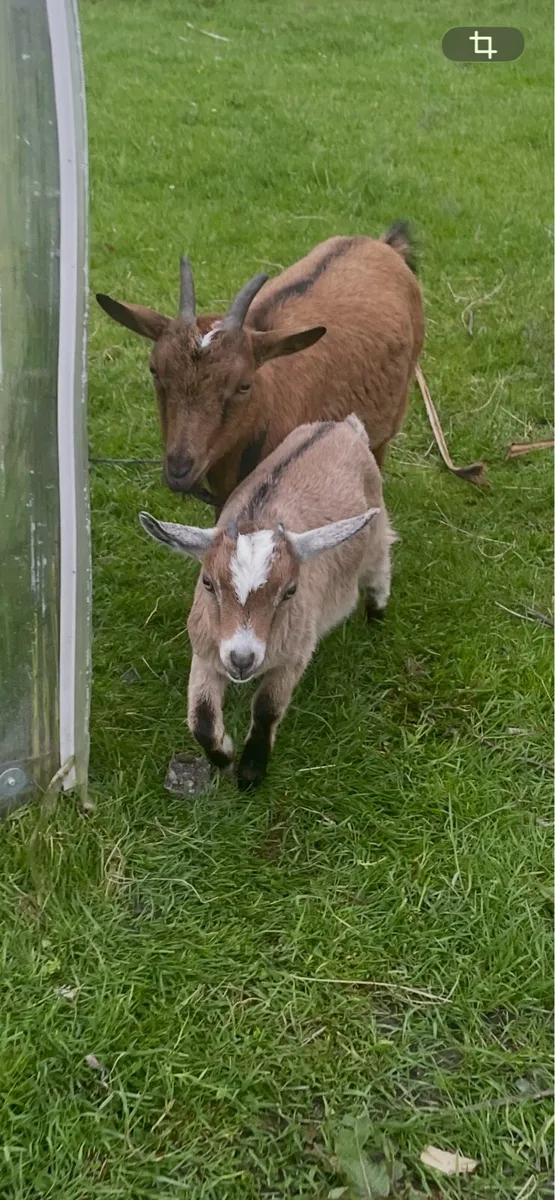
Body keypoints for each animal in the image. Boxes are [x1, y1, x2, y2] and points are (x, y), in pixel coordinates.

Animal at [139, 414, 395, 790]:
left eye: (290, 591)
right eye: (207, 583)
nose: (242, 659)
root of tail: (342, 426)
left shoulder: (294, 655)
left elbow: (267, 708)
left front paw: (250, 771)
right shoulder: (206, 650)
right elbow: (201, 718)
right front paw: (223, 755)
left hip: (375, 534)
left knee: (380, 567)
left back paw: (376, 615)